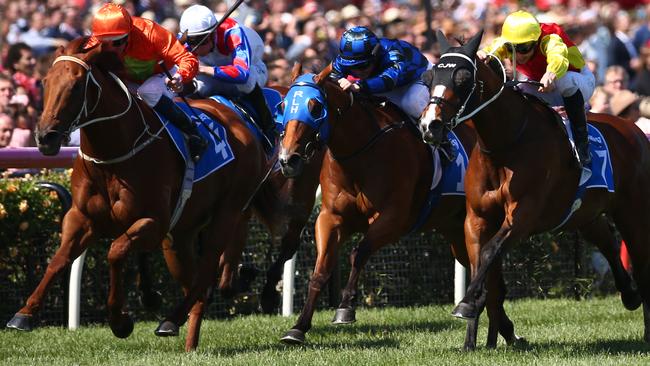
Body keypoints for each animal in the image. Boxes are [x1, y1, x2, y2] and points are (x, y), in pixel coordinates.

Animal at [5, 38, 266, 350]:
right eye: (45, 81)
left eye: (77, 85)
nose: (46, 137)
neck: (112, 156)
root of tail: (242, 121)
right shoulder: (81, 218)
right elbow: (58, 260)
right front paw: (24, 314)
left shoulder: (153, 222)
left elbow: (115, 253)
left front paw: (120, 320)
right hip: (180, 237)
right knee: (196, 285)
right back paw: (188, 339)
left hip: (227, 212)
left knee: (205, 273)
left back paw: (170, 319)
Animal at [276, 64, 478, 344]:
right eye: (283, 105)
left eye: (315, 107)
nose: (287, 159)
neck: (359, 155)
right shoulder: (330, 217)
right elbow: (320, 270)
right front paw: (298, 327)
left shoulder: (395, 219)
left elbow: (358, 253)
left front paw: (345, 308)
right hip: (456, 230)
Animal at [420, 30, 648, 348]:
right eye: (428, 77)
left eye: (463, 78)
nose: (430, 125)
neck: (505, 145)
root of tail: (636, 130)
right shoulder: (475, 219)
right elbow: (479, 261)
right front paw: (471, 338)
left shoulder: (523, 217)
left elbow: (490, 252)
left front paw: (466, 305)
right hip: (585, 215)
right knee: (609, 244)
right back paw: (629, 294)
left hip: (634, 213)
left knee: (642, 263)